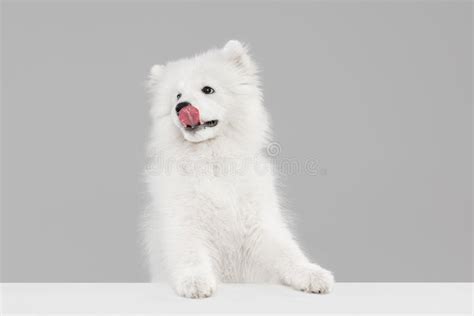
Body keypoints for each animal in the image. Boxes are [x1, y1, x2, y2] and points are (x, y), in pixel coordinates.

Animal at [144, 40, 334, 298]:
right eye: (177, 95)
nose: (181, 107)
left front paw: (312, 274)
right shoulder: (184, 221)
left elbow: (289, 253)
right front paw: (195, 281)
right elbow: (191, 255)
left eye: (207, 90)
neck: (213, 162)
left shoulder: (261, 223)